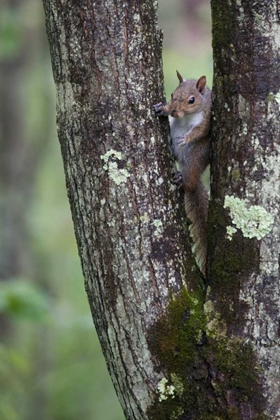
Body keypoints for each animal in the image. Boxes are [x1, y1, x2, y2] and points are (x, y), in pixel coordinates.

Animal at [154, 71, 211, 276]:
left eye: (192, 100)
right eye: (172, 95)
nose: (174, 112)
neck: (187, 116)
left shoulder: (207, 117)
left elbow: (200, 131)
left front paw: (186, 137)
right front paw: (161, 108)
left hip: (195, 156)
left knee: (191, 180)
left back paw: (183, 180)